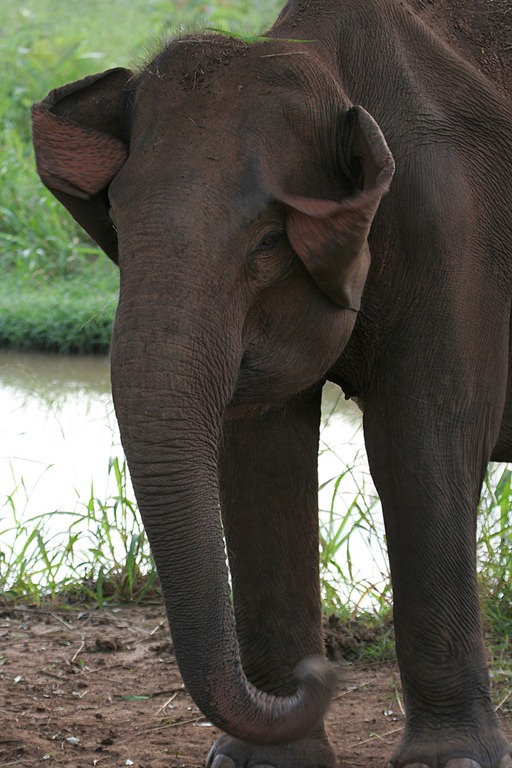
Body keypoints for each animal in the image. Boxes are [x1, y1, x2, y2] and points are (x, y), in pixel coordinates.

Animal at [31, 0, 512, 766]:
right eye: (119, 230)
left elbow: (421, 449)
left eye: (266, 244)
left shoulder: (457, 227)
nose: (325, 672)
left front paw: (453, 761)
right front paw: (259, 762)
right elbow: (260, 456)